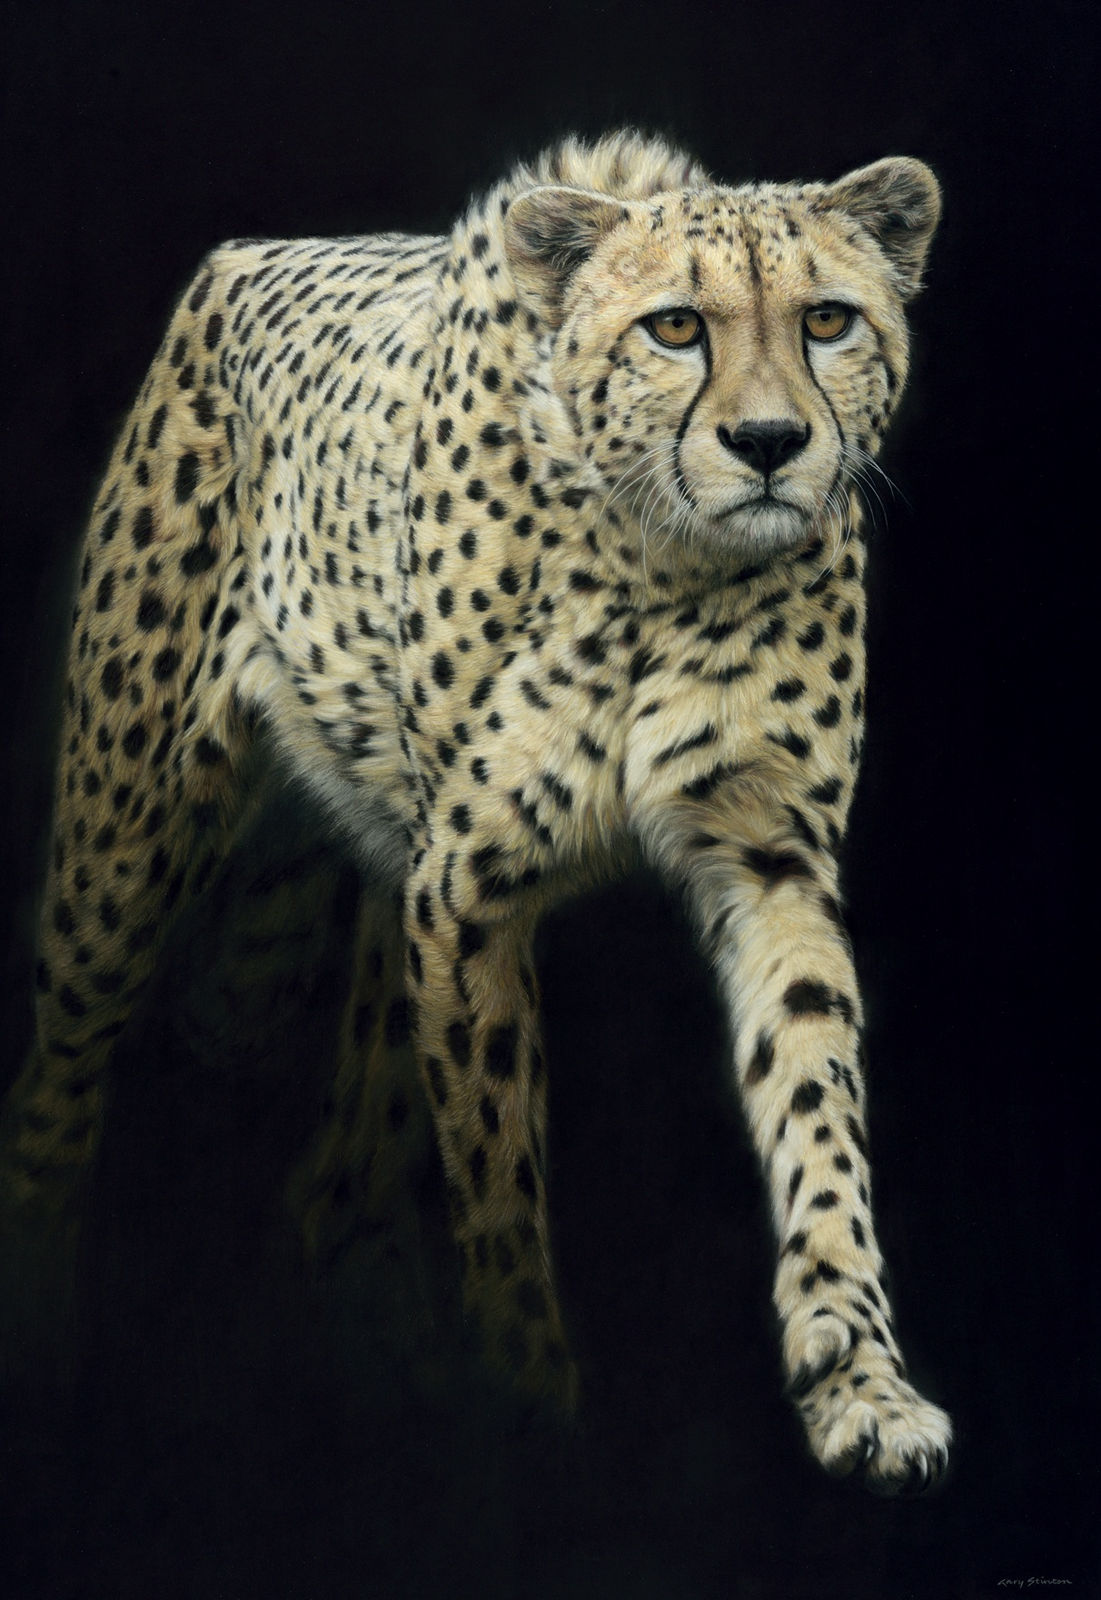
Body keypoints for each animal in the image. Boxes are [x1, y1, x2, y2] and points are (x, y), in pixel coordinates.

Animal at [1, 129, 950, 1492]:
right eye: (675, 328)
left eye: (828, 319)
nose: (771, 440)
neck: (668, 564)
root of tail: (251, 252)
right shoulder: (469, 885)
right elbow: (498, 1167)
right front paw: (533, 1409)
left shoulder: (769, 852)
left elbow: (815, 1099)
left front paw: (861, 1382)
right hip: (125, 838)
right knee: (55, 1092)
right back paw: (44, 1348)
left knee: (335, 1182)